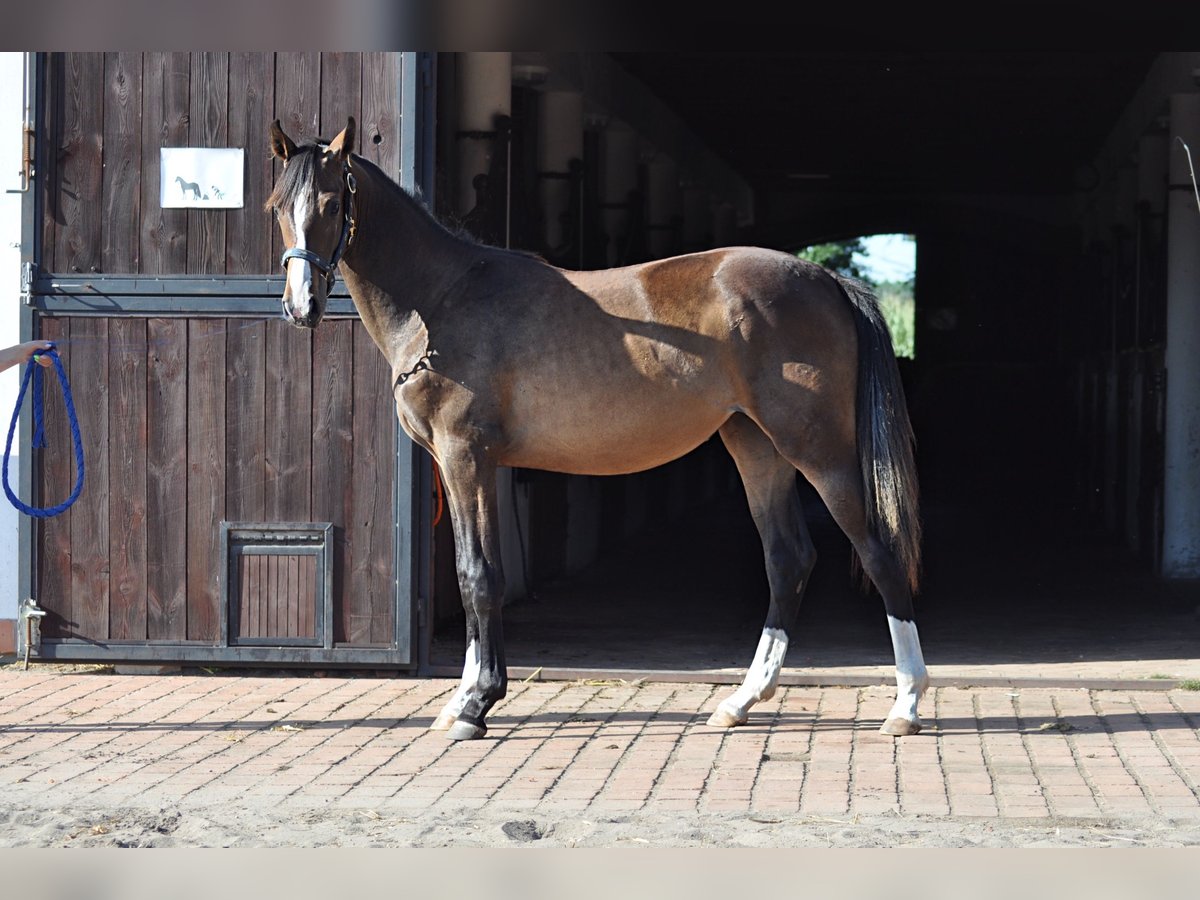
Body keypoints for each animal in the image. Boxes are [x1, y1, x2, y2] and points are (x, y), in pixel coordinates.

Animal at [270, 118, 926, 739]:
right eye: (278, 205)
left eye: (332, 203)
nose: (301, 307)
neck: (441, 300)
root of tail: (827, 282)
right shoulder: (462, 465)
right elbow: (468, 569)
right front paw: (463, 700)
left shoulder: (465, 456)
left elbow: (480, 576)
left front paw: (476, 705)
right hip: (756, 446)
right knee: (788, 560)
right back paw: (740, 702)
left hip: (819, 450)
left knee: (878, 551)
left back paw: (906, 704)